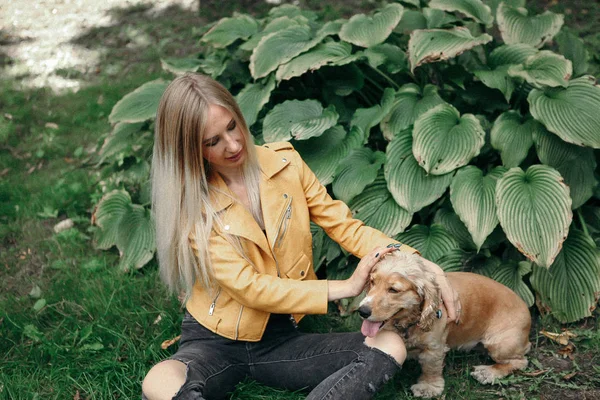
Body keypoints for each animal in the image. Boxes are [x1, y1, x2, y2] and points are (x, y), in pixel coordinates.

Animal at [356, 253, 528, 396]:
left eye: (393, 290)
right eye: (372, 282)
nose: (362, 311)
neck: (410, 322)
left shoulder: (434, 348)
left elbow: (431, 368)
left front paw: (428, 387)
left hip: (499, 343)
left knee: (519, 361)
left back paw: (488, 372)